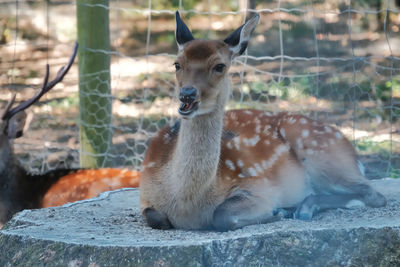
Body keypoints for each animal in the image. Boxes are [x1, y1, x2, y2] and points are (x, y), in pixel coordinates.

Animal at [138, 11, 388, 231]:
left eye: (220, 66)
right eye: (177, 64)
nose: (187, 94)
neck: (187, 204)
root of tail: (353, 154)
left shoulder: (259, 187)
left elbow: (222, 215)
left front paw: (277, 212)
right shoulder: (145, 195)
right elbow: (155, 217)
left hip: (324, 155)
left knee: (373, 193)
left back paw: (302, 208)